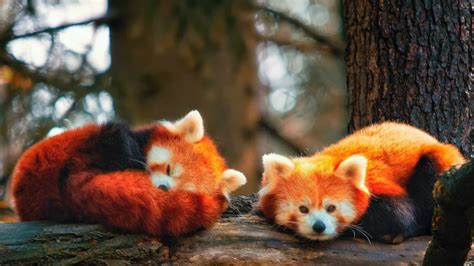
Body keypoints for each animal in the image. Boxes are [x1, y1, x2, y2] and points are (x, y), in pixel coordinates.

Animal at [258, 122, 464, 243]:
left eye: (331, 208)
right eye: (303, 208)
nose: (319, 226)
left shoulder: (378, 185)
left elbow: (400, 216)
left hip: (440, 163)